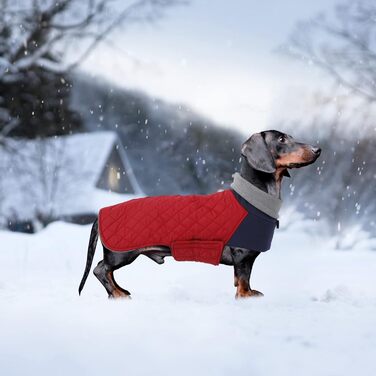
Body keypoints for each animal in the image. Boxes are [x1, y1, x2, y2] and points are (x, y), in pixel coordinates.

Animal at [78, 131, 320, 298]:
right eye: (281, 139)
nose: (318, 149)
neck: (254, 197)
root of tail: (102, 213)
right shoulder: (242, 255)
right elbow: (243, 281)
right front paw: (247, 296)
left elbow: (242, 279)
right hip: (121, 253)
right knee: (101, 269)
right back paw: (117, 294)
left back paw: (120, 291)